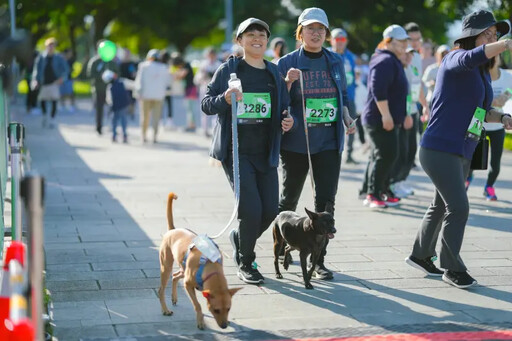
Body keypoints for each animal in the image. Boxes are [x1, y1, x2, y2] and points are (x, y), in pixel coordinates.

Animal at [158, 193, 242, 328]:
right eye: (216, 310)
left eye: (228, 309)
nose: (224, 326)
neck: (210, 265)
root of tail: (173, 229)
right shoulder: (188, 285)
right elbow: (197, 305)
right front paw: (200, 321)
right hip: (166, 266)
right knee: (161, 289)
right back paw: (165, 310)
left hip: (183, 268)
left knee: (175, 276)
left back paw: (174, 298)